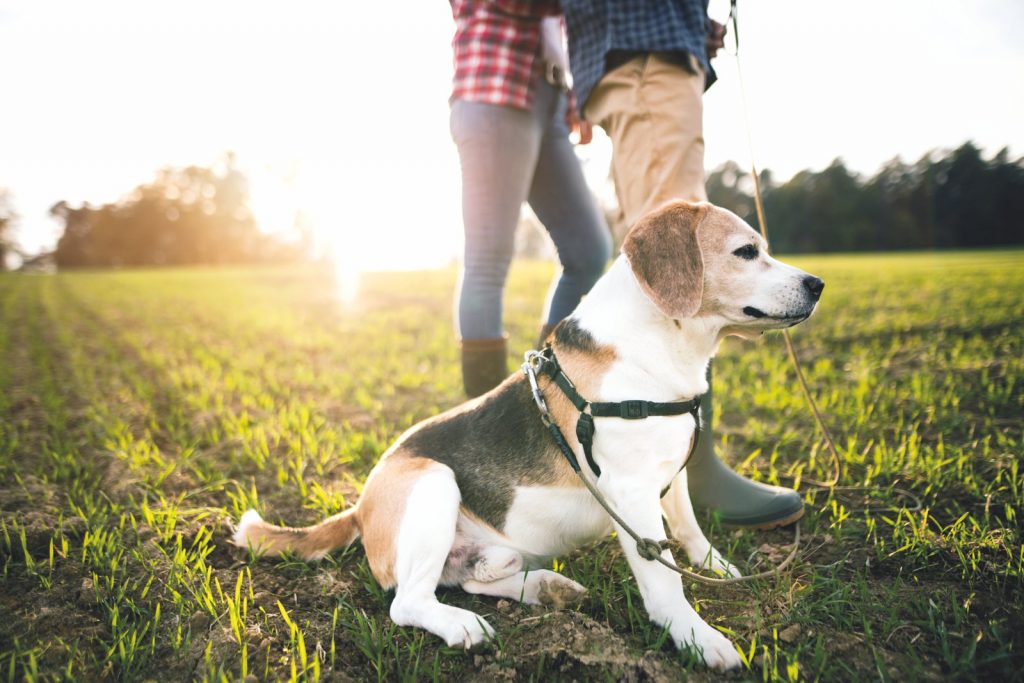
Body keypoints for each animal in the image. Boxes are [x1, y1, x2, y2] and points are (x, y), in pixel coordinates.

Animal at [234, 200, 823, 671]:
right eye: (745, 251)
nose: (817, 285)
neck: (658, 346)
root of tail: (360, 506)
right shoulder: (632, 495)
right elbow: (664, 579)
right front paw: (698, 638)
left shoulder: (670, 473)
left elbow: (692, 532)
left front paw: (720, 569)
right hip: (434, 482)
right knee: (409, 602)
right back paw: (465, 626)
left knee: (474, 578)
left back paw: (546, 586)